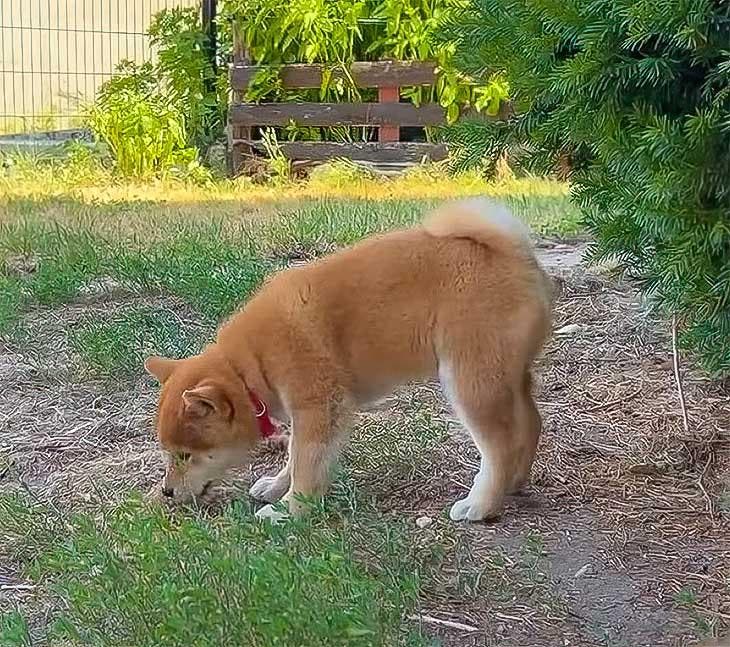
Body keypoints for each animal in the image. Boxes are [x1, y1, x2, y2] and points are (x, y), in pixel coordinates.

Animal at [144, 200, 552, 524]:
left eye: (185, 455)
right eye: (168, 454)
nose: (166, 492)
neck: (247, 366)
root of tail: (513, 253)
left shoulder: (318, 407)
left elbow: (306, 465)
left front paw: (290, 509)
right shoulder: (306, 415)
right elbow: (294, 456)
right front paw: (276, 486)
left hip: (469, 379)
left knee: (500, 445)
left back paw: (482, 505)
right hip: (507, 376)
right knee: (530, 423)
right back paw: (515, 483)